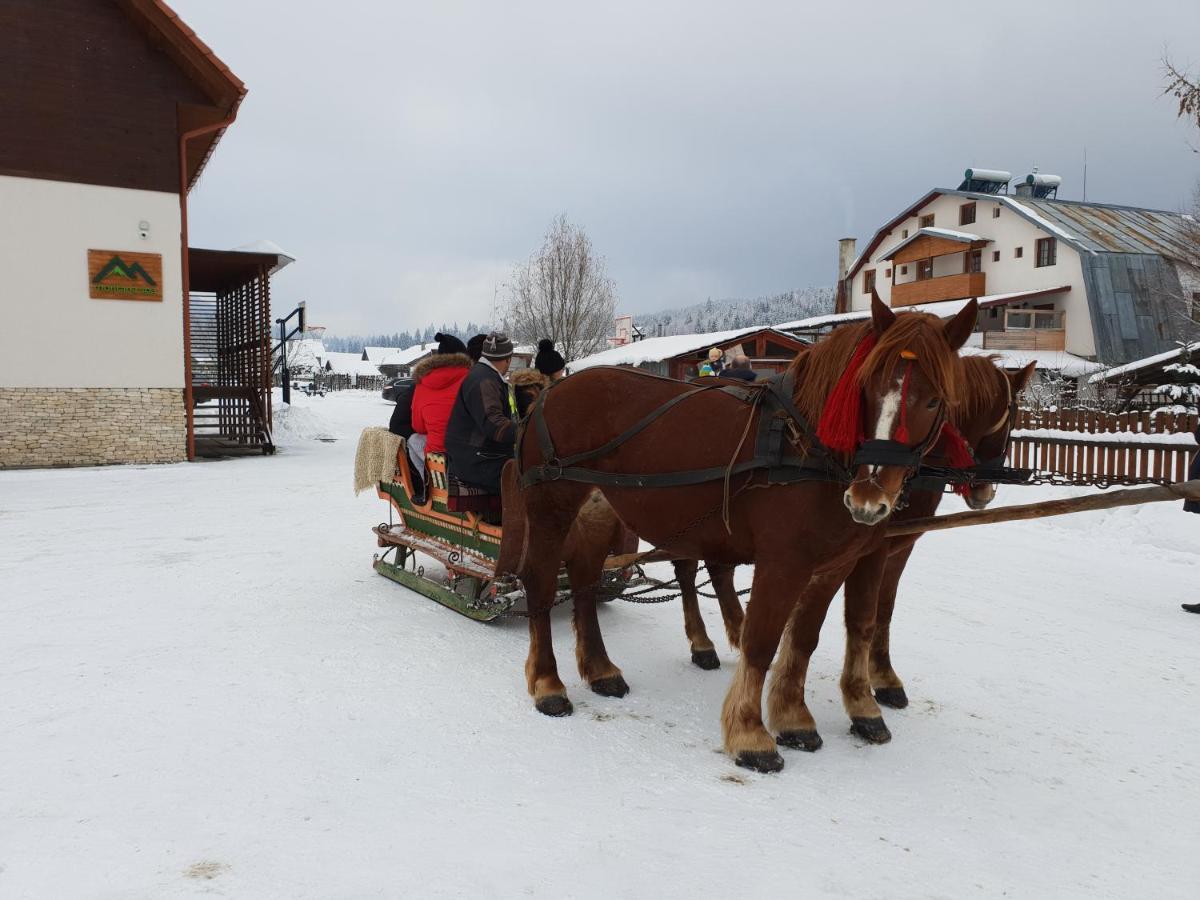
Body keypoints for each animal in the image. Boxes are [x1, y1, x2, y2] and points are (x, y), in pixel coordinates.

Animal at [496, 297, 974, 777]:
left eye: (934, 400)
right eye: (866, 389)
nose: (867, 499)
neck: (803, 446)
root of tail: (551, 393)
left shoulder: (838, 562)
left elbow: (812, 636)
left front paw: (799, 718)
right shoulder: (784, 562)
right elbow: (762, 641)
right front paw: (750, 734)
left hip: (598, 511)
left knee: (583, 583)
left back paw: (600, 669)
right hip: (551, 508)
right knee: (541, 584)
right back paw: (548, 684)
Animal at [768, 355, 1041, 748]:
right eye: (1013, 416)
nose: (984, 492)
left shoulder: (899, 548)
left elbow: (884, 610)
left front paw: (882, 679)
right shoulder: (872, 550)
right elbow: (861, 615)